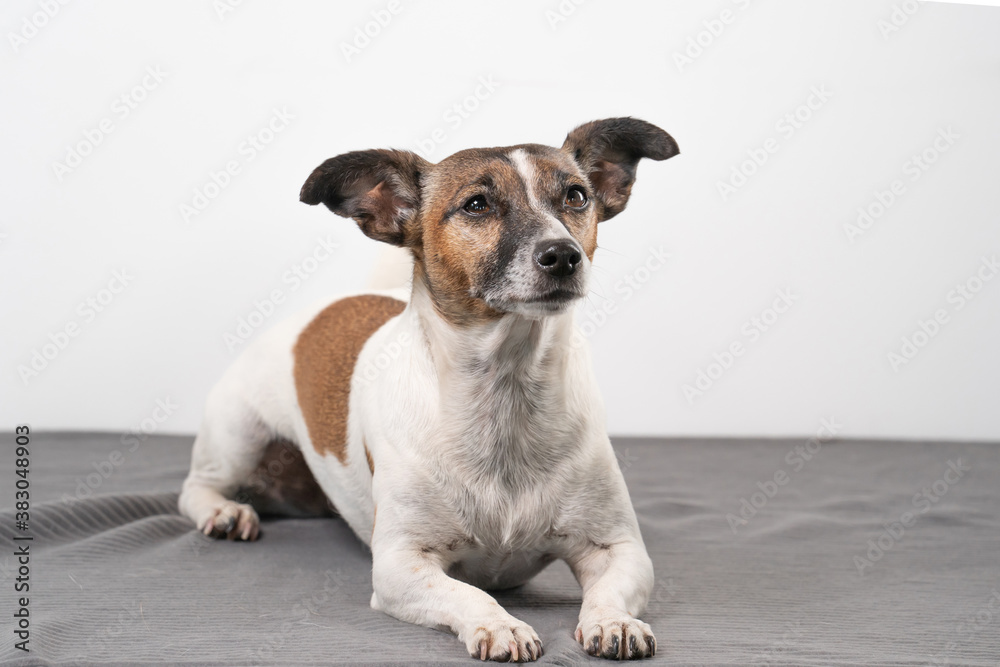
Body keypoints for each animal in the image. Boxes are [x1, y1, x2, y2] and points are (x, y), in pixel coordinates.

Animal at [178, 118, 680, 664]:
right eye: (477, 205)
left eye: (576, 196)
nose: (562, 254)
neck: (505, 389)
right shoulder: (400, 564)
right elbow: (469, 593)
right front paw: (499, 624)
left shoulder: (618, 548)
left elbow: (610, 588)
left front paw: (614, 620)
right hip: (238, 437)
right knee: (196, 488)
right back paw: (225, 512)